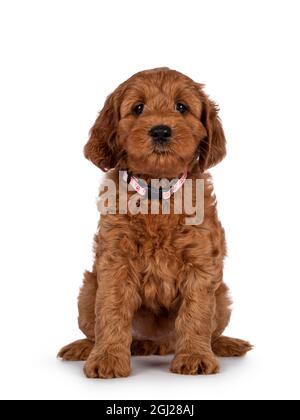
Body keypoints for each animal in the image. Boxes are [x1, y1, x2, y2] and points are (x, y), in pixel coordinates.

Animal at [57, 68, 252, 378]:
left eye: (181, 107)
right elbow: (111, 310)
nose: (161, 130)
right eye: (138, 108)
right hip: (88, 290)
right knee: (95, 329)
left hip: (222, 297)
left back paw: (221, 344)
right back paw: (86, 347)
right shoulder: (115, 261)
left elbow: (196, 314)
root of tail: (157, 343)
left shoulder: (200, 263)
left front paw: (195, 356)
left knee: (211, 330)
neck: (158, 192)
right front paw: (107, 358)